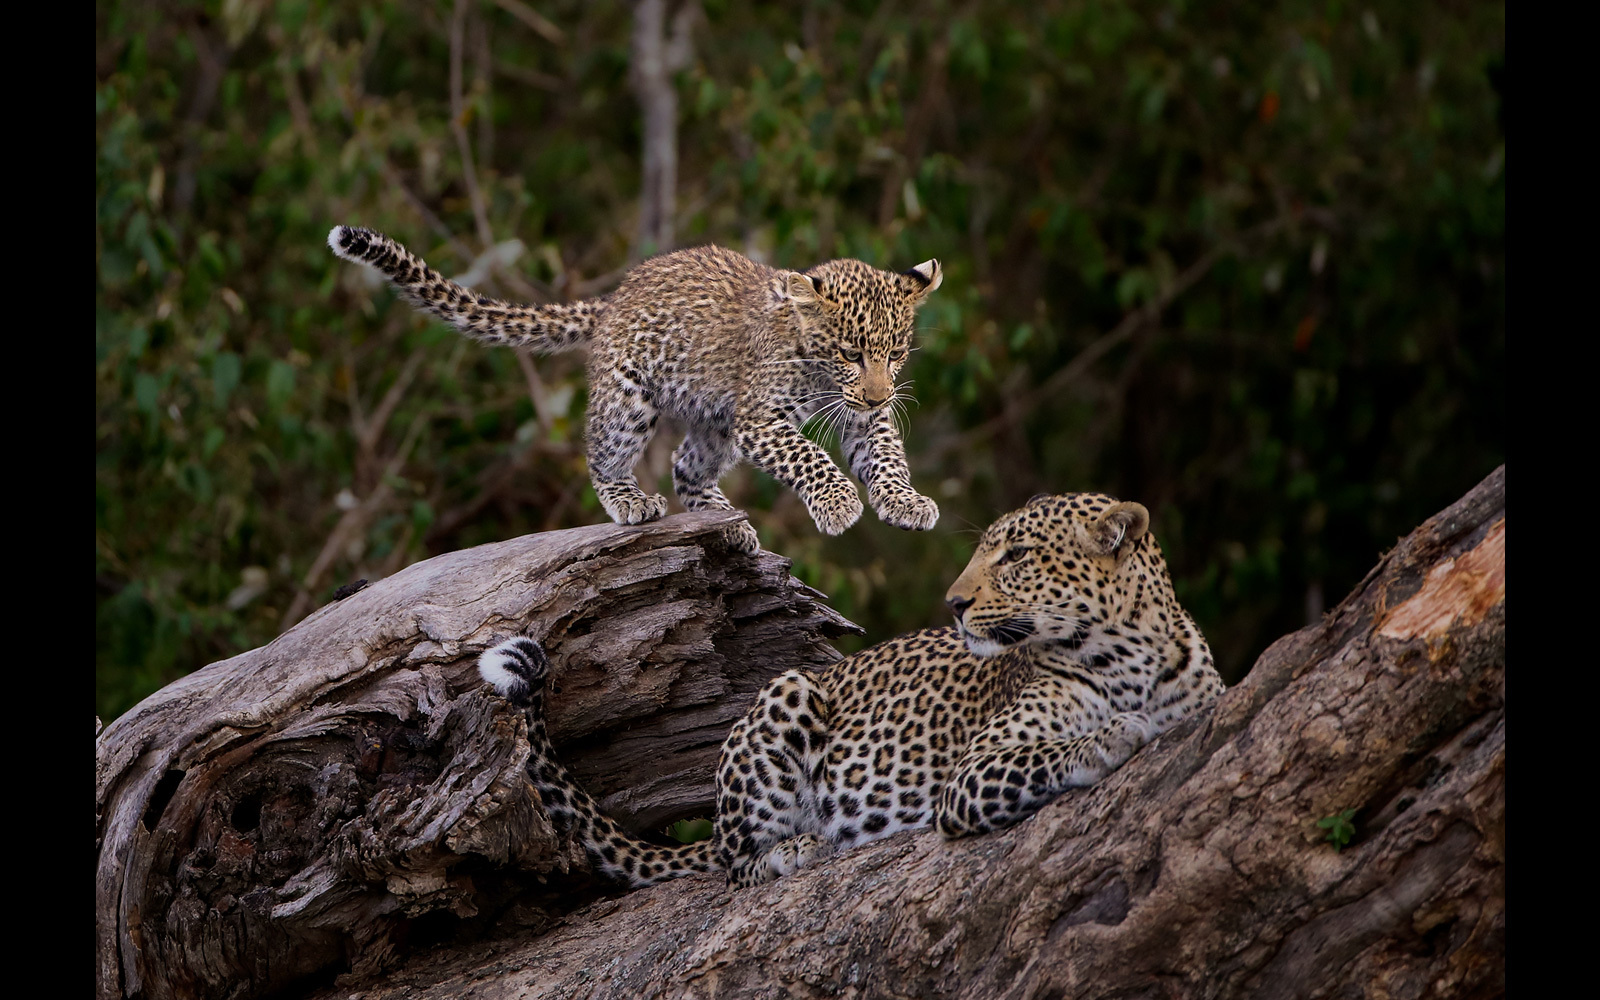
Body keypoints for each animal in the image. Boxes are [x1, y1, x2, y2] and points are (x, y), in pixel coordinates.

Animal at [329, 225, 940, 550]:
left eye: (896, 354)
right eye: (851, 354)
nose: (881, 393)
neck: (819, 368)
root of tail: (615, 297)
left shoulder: (861, 417)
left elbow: (885, 455)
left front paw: (905, 503)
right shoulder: (761, 419)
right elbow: (809, 456)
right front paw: (839, 505)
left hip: (713, 422)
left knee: (684, 464)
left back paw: (725, 525)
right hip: (631, 400)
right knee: (604, 455)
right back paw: (632, 501)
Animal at [476, 486, 1222, 883]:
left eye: (1016, 555)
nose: (954, 603)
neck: (1125, 653)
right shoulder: (970, 775)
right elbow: (1044, 752)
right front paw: (1110, 736)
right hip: (787, 693)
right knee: (734, 865)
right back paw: (799, 848)